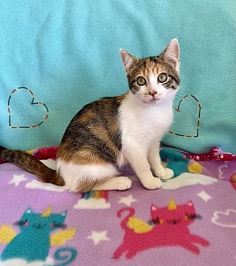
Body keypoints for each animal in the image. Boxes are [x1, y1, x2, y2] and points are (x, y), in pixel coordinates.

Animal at [0, 38, 180, 192]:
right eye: (141, 81)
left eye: (162, 77)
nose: (152, 92)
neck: (154, 111)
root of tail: (60, 173)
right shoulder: (132, 145)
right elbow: (143, 165)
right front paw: (149, 181)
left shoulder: (154, 141)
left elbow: (154, 158)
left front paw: (161, 172)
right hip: (98, 161)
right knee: (81, 186)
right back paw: (120, 181)